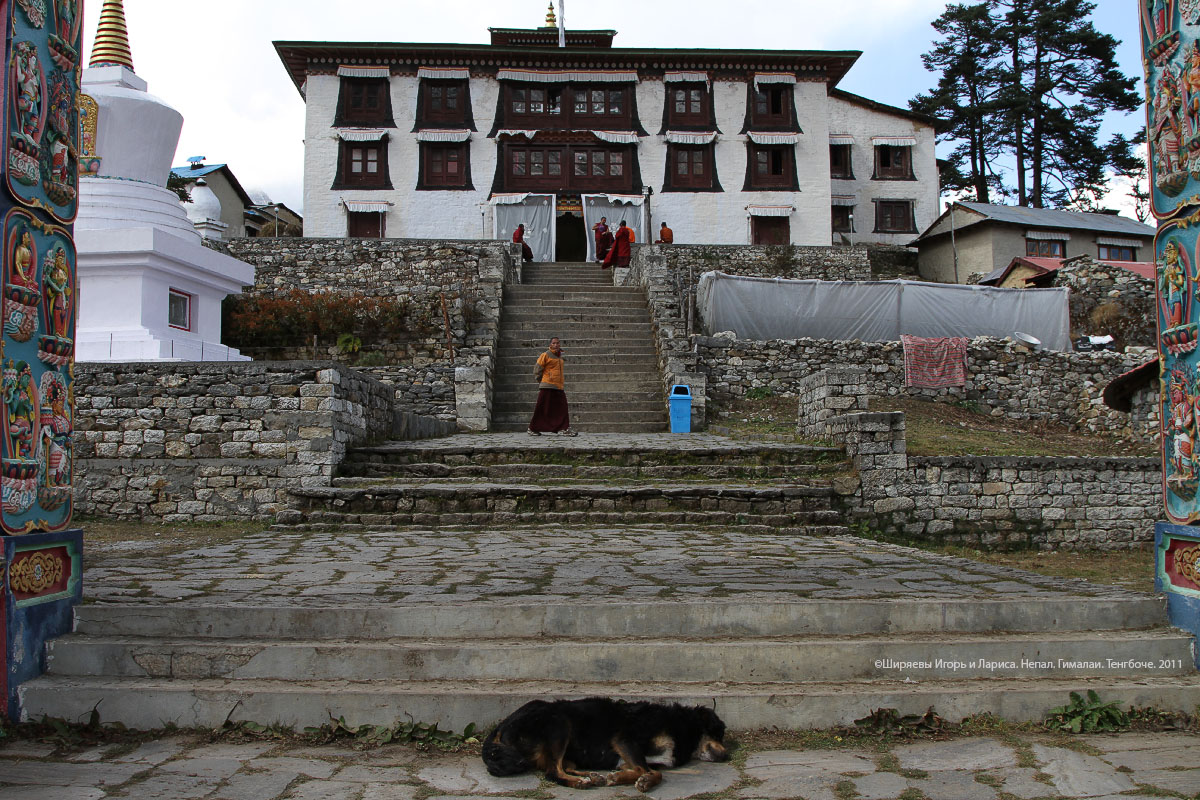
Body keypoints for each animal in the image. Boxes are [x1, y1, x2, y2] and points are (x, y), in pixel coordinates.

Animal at [480, 695, 724, 791]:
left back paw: (593, 776)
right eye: (719, 733)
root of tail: (500, 727)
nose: (726, 755)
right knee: (552, 771)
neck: (681, 725)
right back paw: (581, 782)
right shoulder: (625, 739)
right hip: (559, 723)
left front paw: (617, 777)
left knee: (562, 766)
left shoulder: (629, 755)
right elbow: (651, 772)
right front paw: (641, 781)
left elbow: (644, 769)